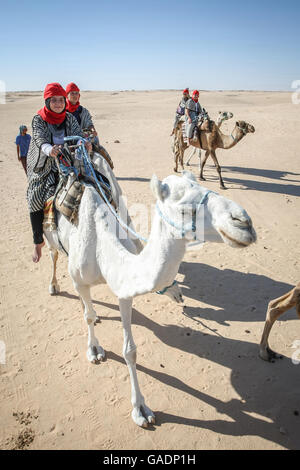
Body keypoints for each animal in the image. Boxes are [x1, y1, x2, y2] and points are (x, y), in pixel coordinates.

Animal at [44, 167, 255, 428]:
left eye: (208, 188)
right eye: (185, 210)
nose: (244, 222)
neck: (101, 249)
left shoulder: (124, 289)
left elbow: (130, 351)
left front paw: (141, 409)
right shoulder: (79, 280)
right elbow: (88, 317)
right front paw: (94, 349)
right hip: (51, 240)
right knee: (53, 253)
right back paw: (54, 285)